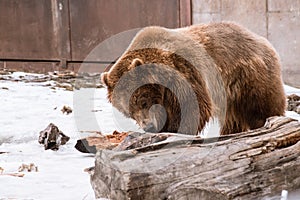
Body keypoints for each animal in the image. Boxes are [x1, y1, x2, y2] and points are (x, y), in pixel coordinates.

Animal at [101, 21, 286, 135]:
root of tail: (260, 38)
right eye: (129, 112)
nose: (148, 127)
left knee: (262, 106)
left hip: (250, 76)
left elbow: (193, 107)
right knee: (233, 118)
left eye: (143, 102)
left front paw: (175, 130)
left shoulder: (183, 75)